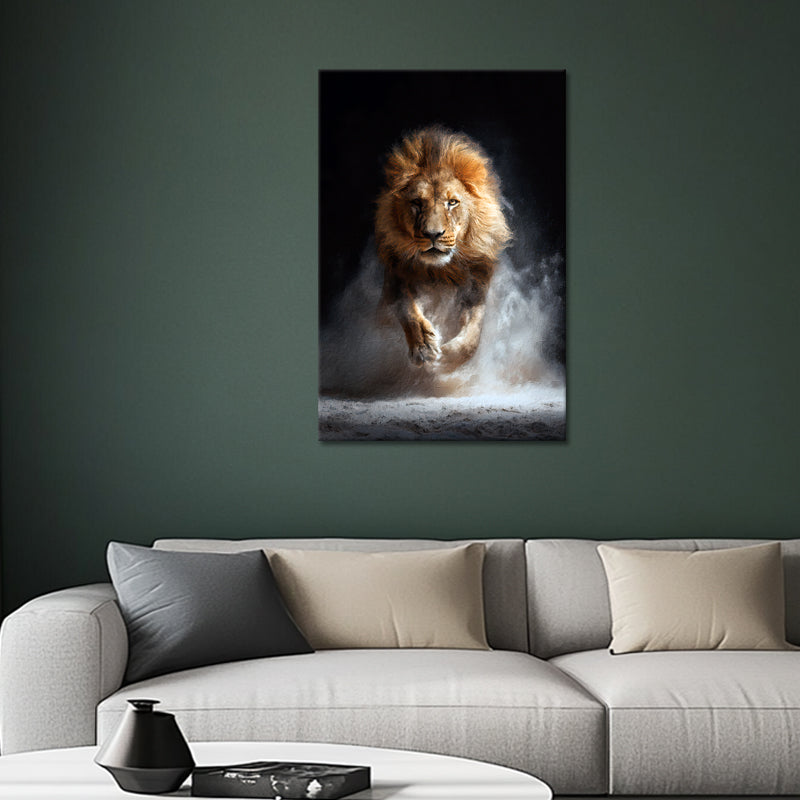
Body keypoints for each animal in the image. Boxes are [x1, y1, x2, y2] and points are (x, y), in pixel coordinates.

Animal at [375, 126, 512, 371]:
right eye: (417, 203)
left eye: (452, 202)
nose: (433, 234)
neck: (441, 271)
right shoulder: (395, 274)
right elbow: (406, 308)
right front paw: (424, 347)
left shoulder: (477, 284)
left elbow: (473, 331)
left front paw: (448, 357)